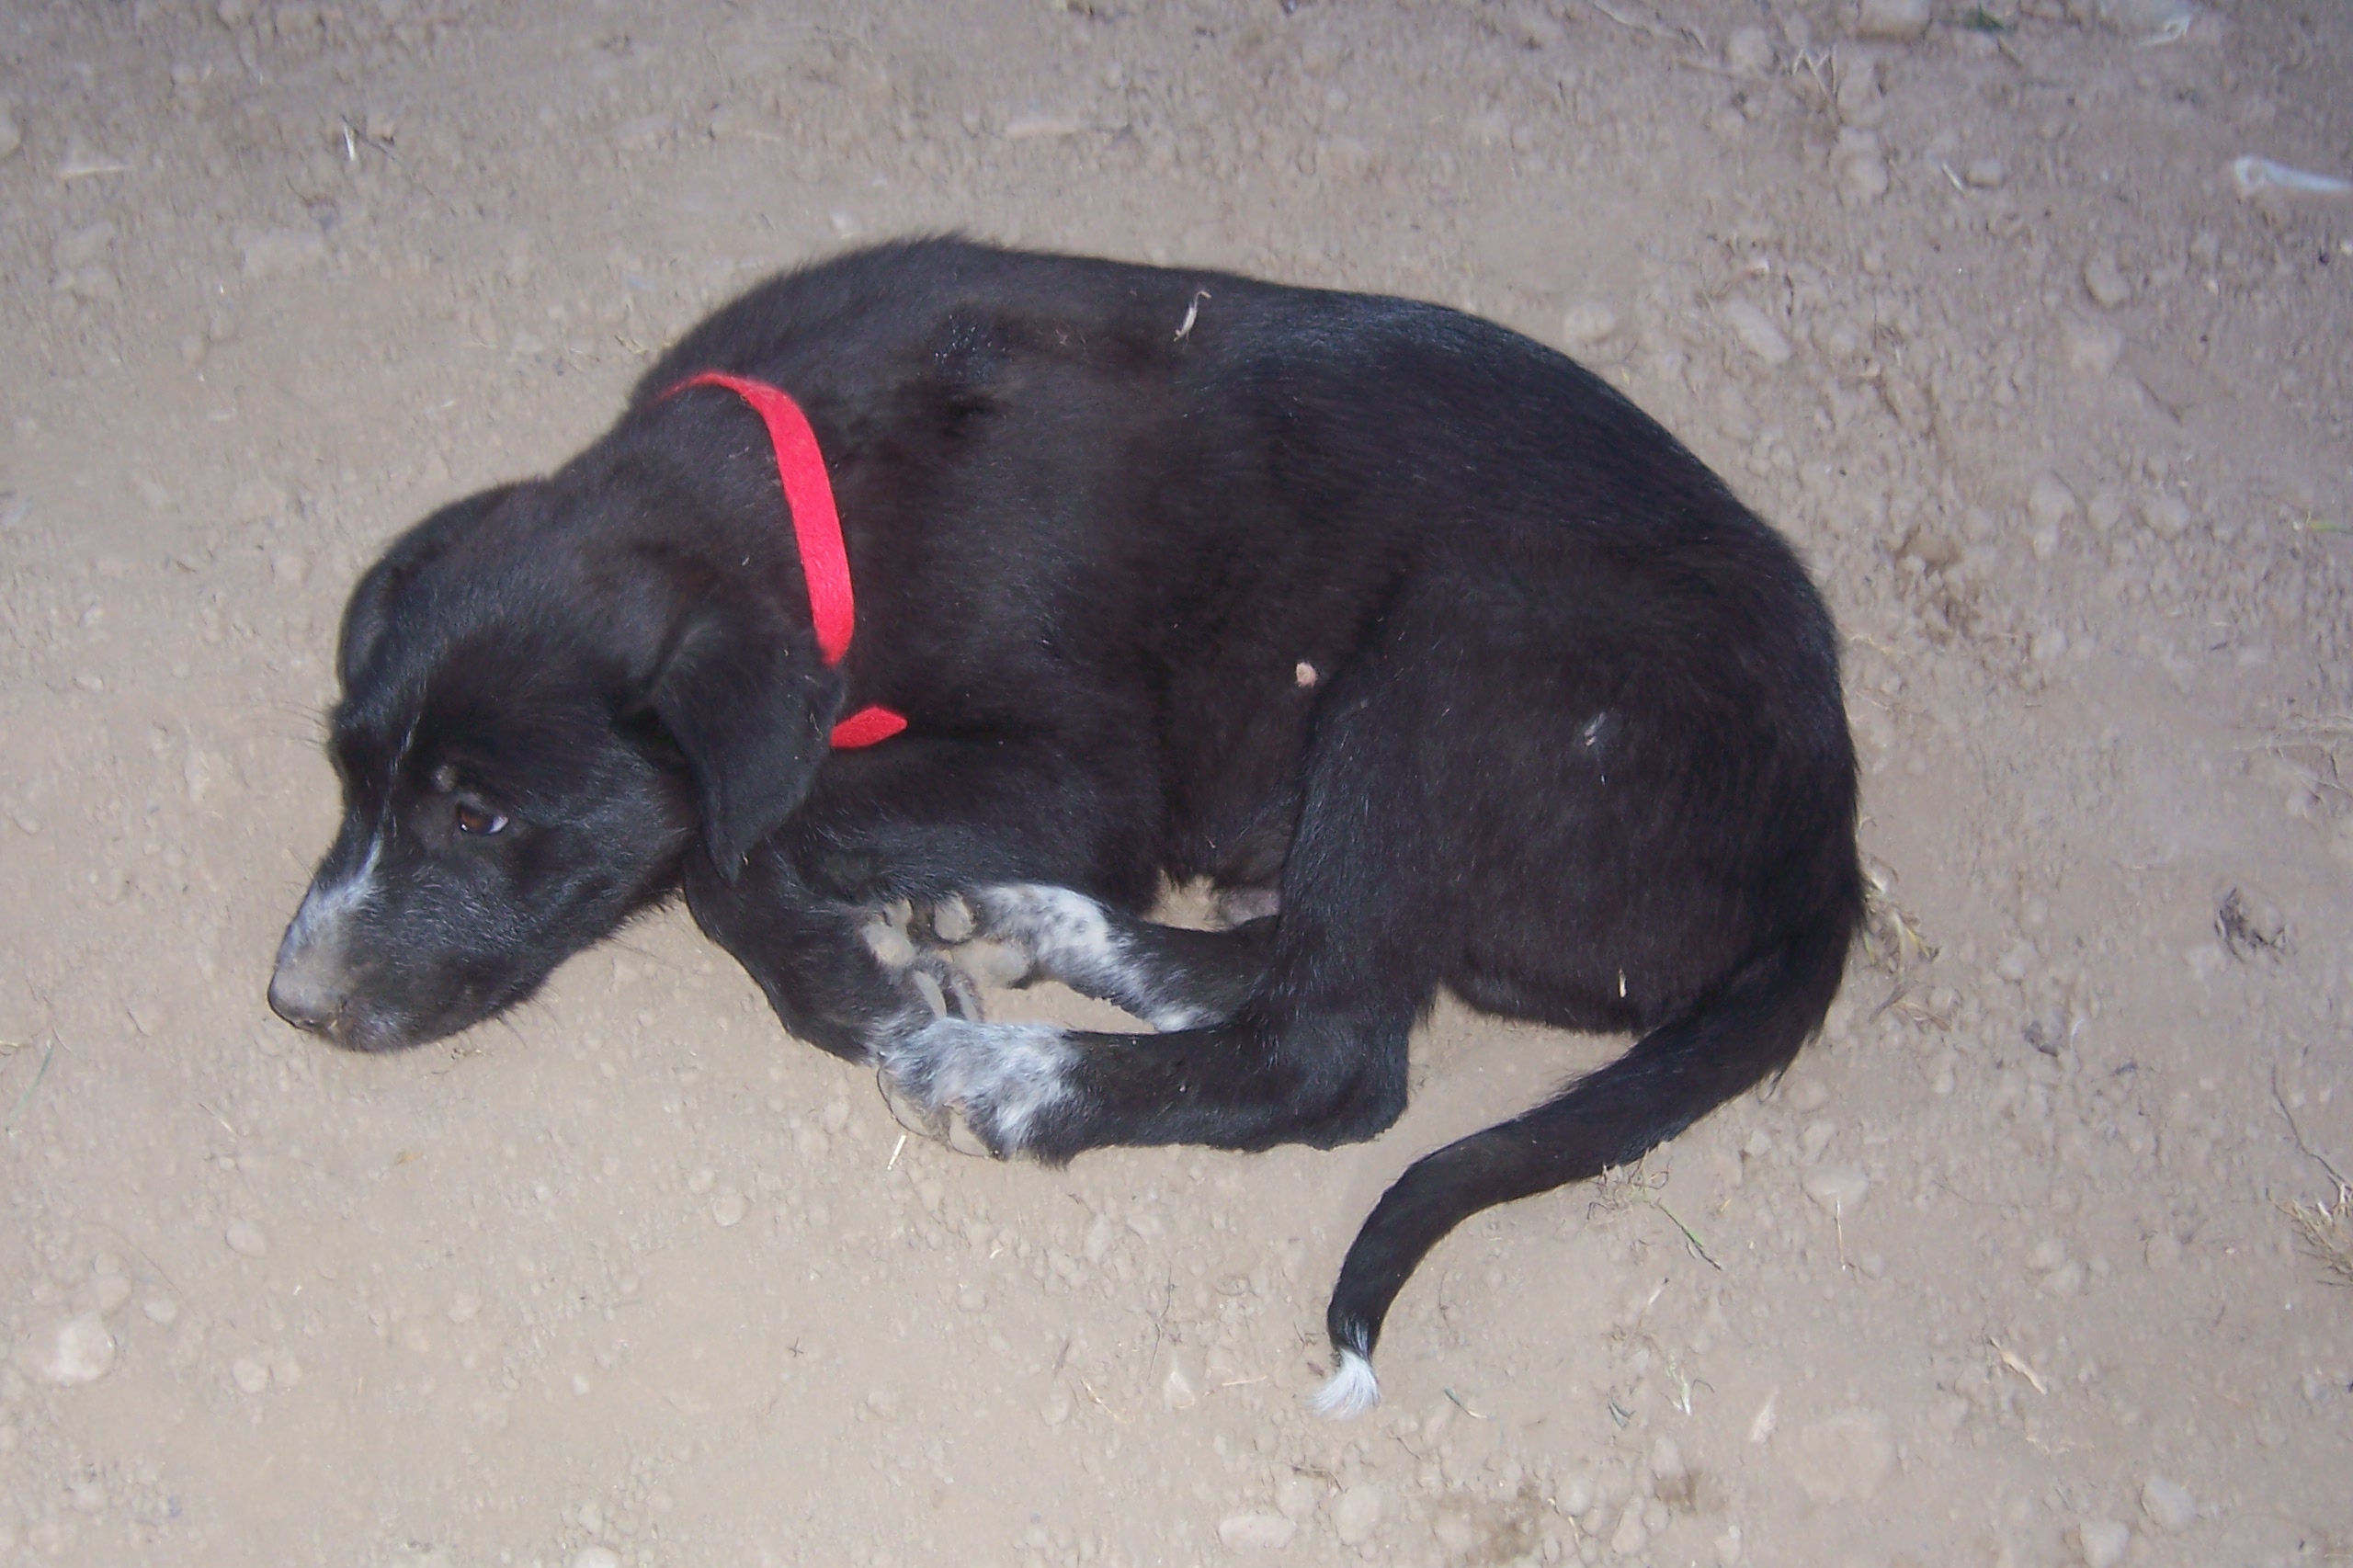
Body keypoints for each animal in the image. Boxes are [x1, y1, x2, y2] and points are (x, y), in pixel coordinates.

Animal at [268, 237, 1862, 1415]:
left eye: (478, 814)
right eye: (345, 774)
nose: (294, 1000)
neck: (811, 491)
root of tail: (1827, 851)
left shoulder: (1083, 779)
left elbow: (734, 848)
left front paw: (860, 984)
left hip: (1457, 650)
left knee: (1331, 1047)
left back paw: (1014, 1077)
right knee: (1295, 962)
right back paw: (1032, 926)